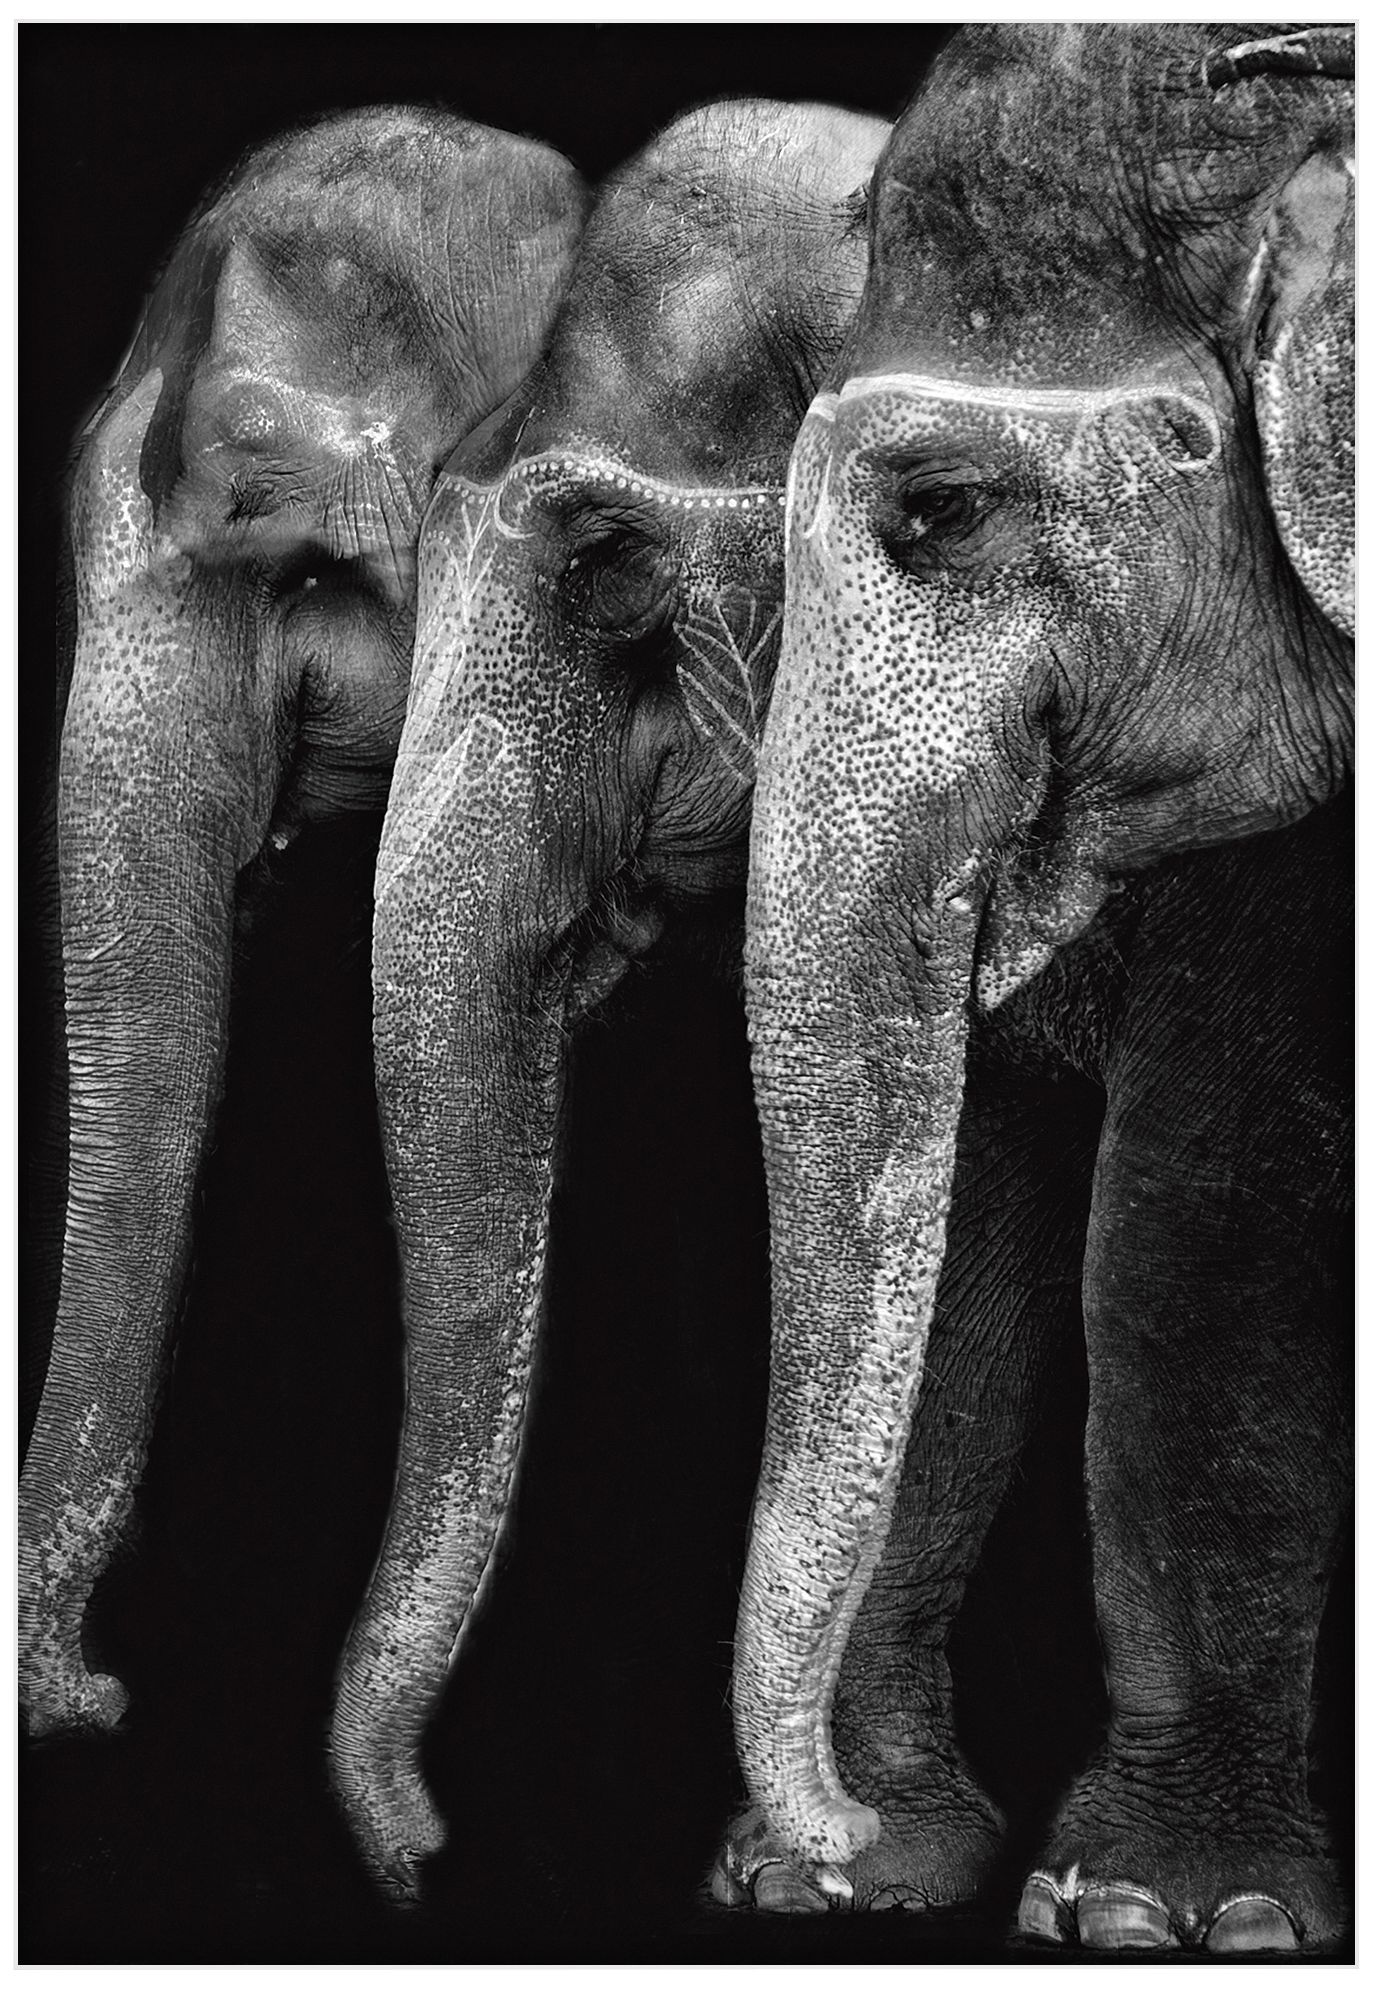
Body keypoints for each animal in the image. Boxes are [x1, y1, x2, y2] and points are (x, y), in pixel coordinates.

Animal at [725, 24, 1353, 1952]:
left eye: (936, 511)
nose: (825, 1833)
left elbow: (1204, 1215)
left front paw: (1169, 1913)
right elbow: (979, 1197)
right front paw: (863, 1881)